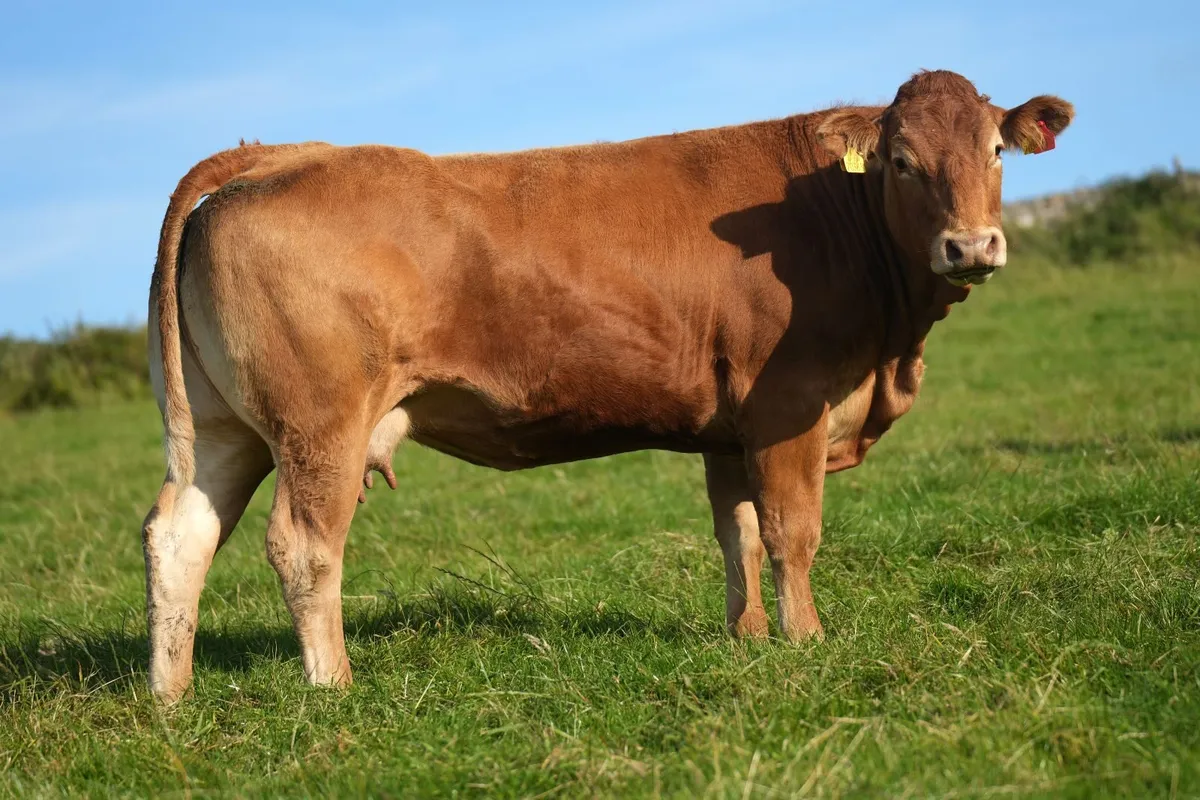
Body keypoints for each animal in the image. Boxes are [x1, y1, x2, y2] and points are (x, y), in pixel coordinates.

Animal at [142, 69, 1072, 702]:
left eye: (995, 150)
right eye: (903, 162)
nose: (971, 246)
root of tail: (276, 155)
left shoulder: (731, 425)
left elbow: (737, 534)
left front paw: (748, 638)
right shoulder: (790, 404)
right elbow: (791, 531)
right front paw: (806, 642)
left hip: (226, 431)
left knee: (178, 537)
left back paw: (171, 697)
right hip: (320, 425)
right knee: (302, 546)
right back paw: (332, 684)